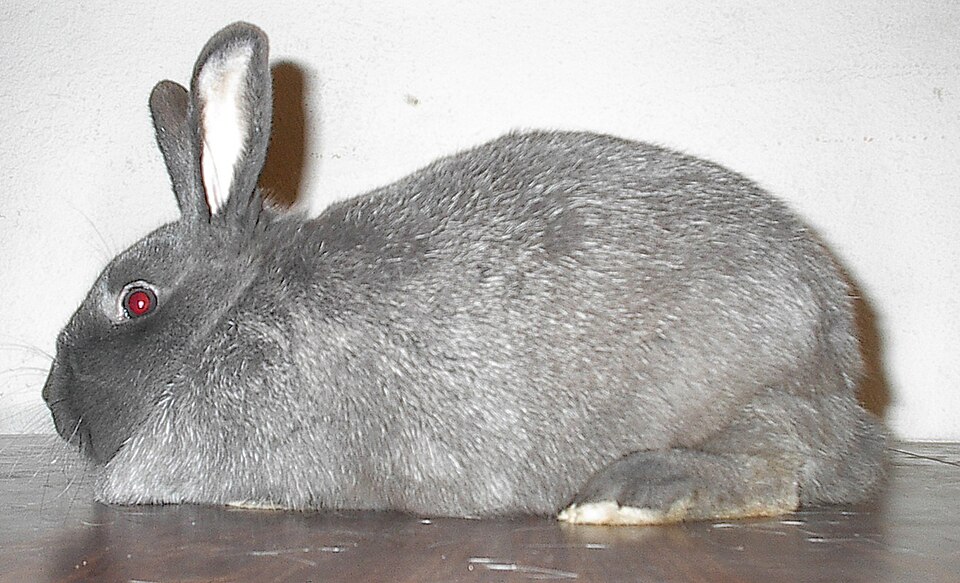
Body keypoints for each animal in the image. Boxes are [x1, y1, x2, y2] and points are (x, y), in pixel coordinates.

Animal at [41, 22, 885, 525]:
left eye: (137, 300)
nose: (50, 401)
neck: (232, 315)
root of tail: (841, 362)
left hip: (749, 391)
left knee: (774, 478)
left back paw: (624, 497)